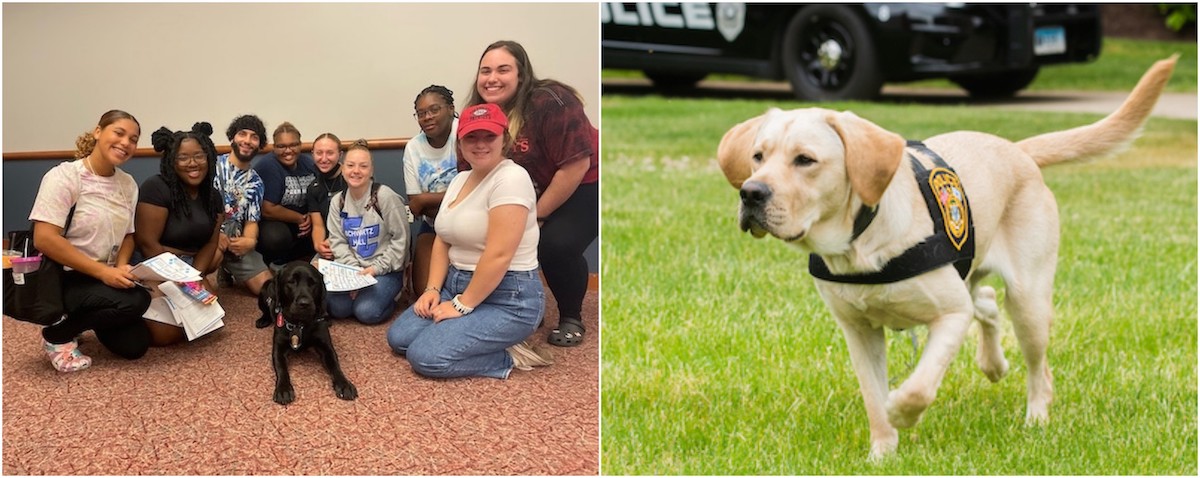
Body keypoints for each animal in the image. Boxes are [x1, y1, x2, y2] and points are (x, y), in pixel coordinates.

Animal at [256, 261, 355, 403]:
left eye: (313, 283)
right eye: (291, 281)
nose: (304, 303)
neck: (300, 325)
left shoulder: (326, 345)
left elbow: (335, 365)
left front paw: (344, 384)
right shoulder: (278, 348)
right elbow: (281, 368)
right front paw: (283, 389)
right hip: (264, 291)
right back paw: (263, 320)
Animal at [715, 57, 1176, 458]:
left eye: (805, 160)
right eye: (758, 156)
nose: (751, 193)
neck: (862, 244)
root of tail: (1018, 150)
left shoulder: (951, 314)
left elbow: (920, 385)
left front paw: (902, 410)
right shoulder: (858, 332)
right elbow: (872, 396)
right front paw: (882, 453)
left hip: (1028, 300)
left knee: (1037, 367)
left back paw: (1036, 419)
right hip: (974, 278)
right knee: (986, 302)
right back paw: (993, 363)